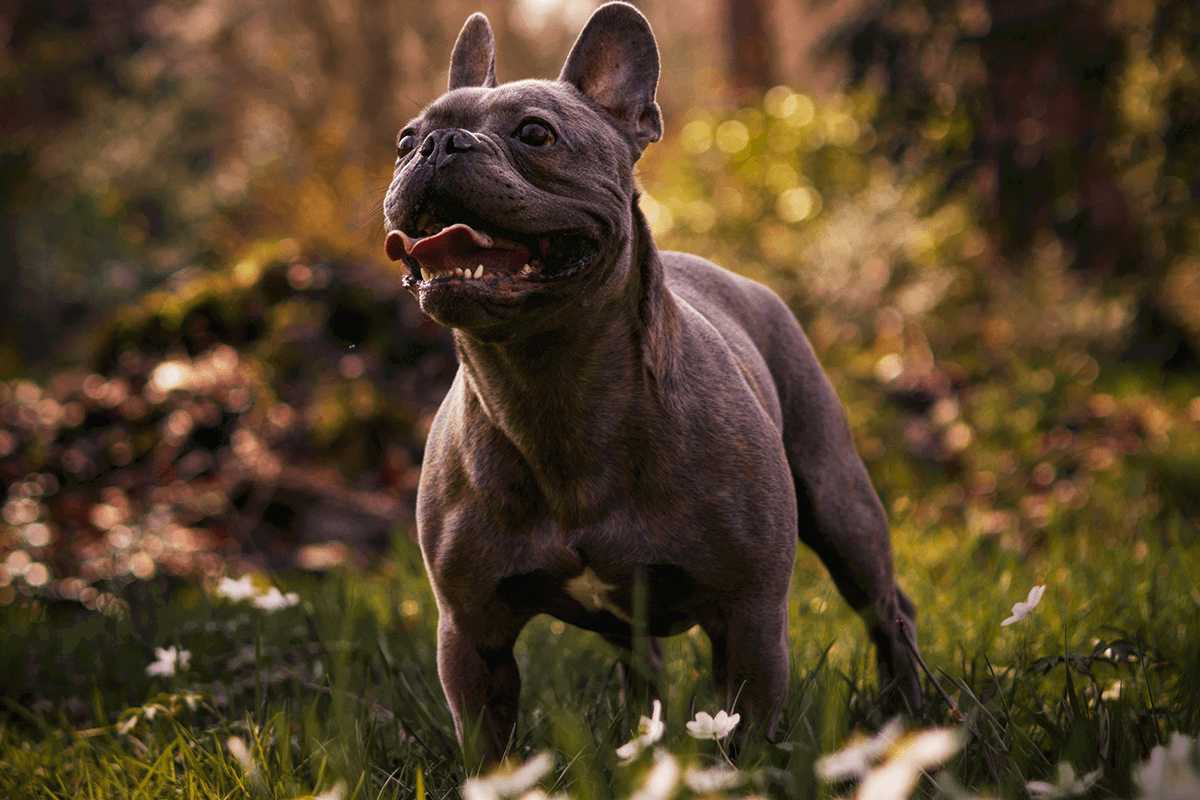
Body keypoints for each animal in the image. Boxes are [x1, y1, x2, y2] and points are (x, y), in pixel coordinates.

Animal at [379, 0, 921, 762]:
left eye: (535, 134)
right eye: (404, 139)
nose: (438, 146)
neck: (548, 386)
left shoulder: (750, 619)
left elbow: (745, 734)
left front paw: (742, 773)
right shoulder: (470, 633)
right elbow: (489, 750)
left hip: (843, 508)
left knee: (889, 613)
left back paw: (914, 713)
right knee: (644, 666)